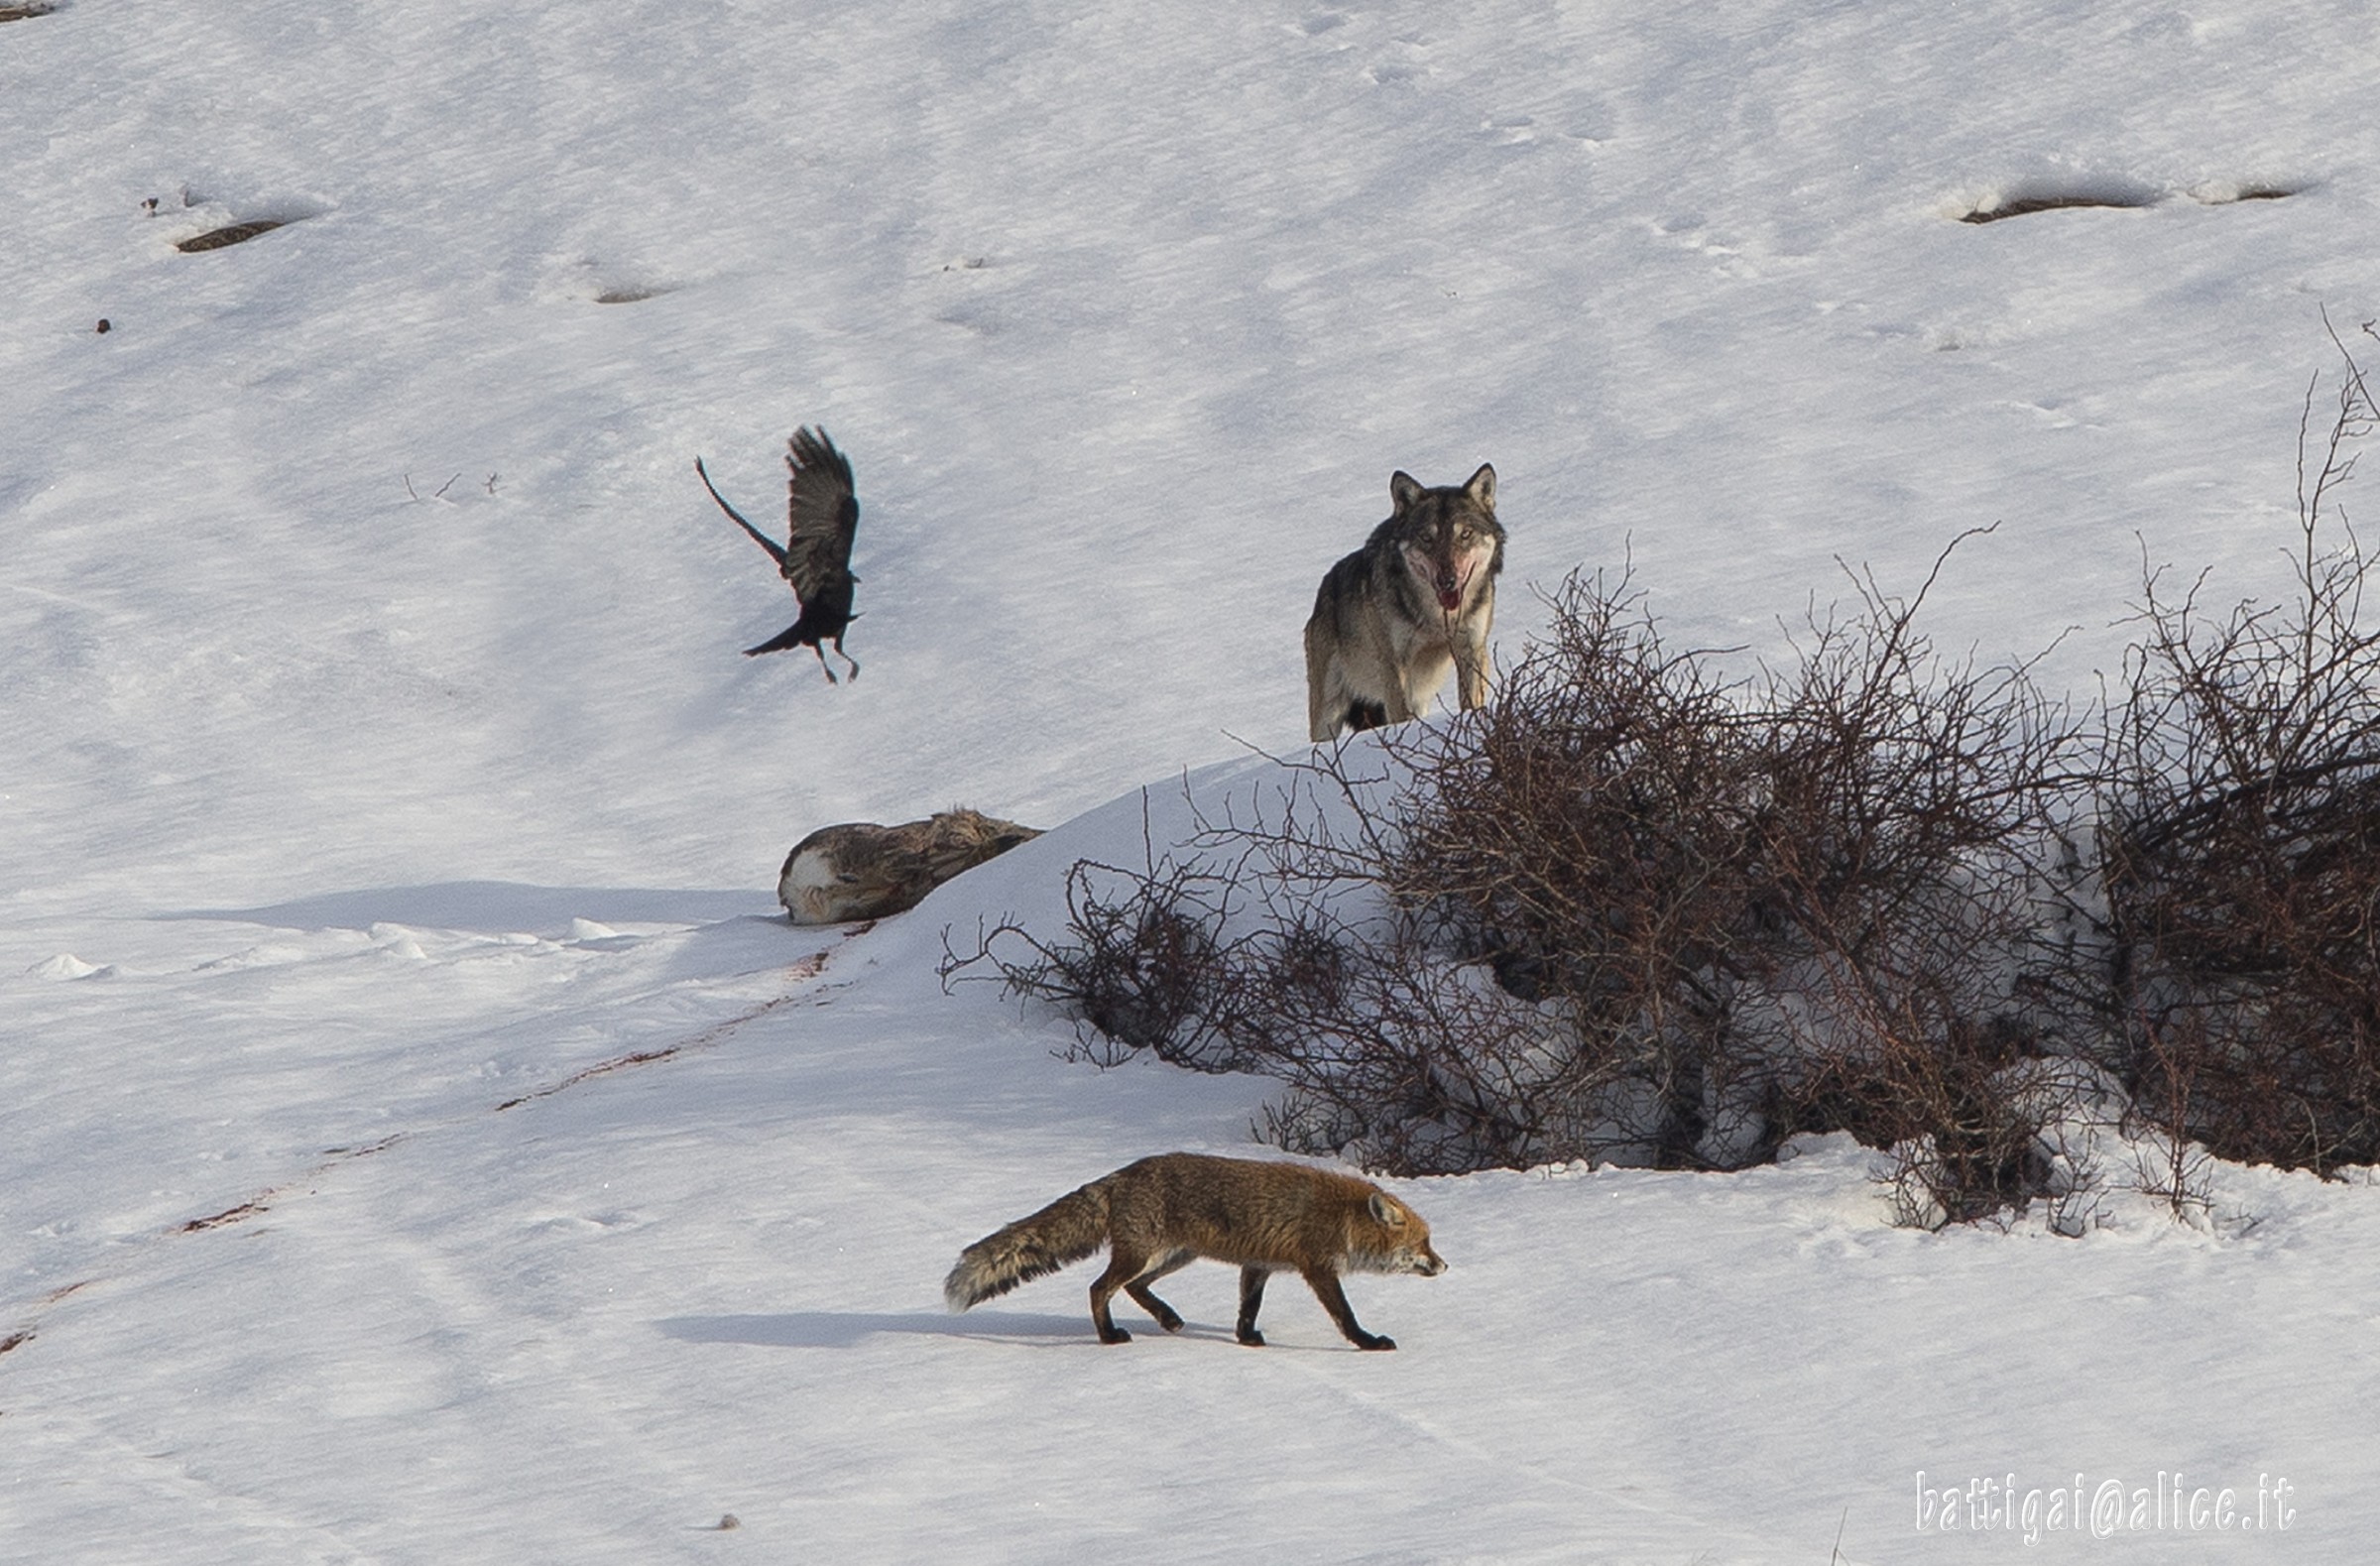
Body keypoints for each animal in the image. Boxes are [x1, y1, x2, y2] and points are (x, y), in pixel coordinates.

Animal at [943, 1152, 1446, 1350]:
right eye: (1423, 1243)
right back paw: (1109, 1336)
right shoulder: (1318, 1268)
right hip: (1143, 1254)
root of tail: (1121, 1175)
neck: (1341, 1216)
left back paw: (1167, 1318)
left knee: (1134, 1289)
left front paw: (1246, 1338)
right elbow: (1345, 1314)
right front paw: (1368, 1343)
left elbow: (1248, 1309)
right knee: (1098, 1289)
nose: (1444, 1264)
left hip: (1171, 1257)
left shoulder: (1257, 1264)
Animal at [1304, 463, 1504, 742]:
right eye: (1427, 538)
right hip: (1329, 711)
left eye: (1465, 534)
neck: (1438, 618)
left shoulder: (1472, 650)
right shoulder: (1395, 665)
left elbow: (1471, 704)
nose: (1447, 581)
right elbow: (1400, 717)